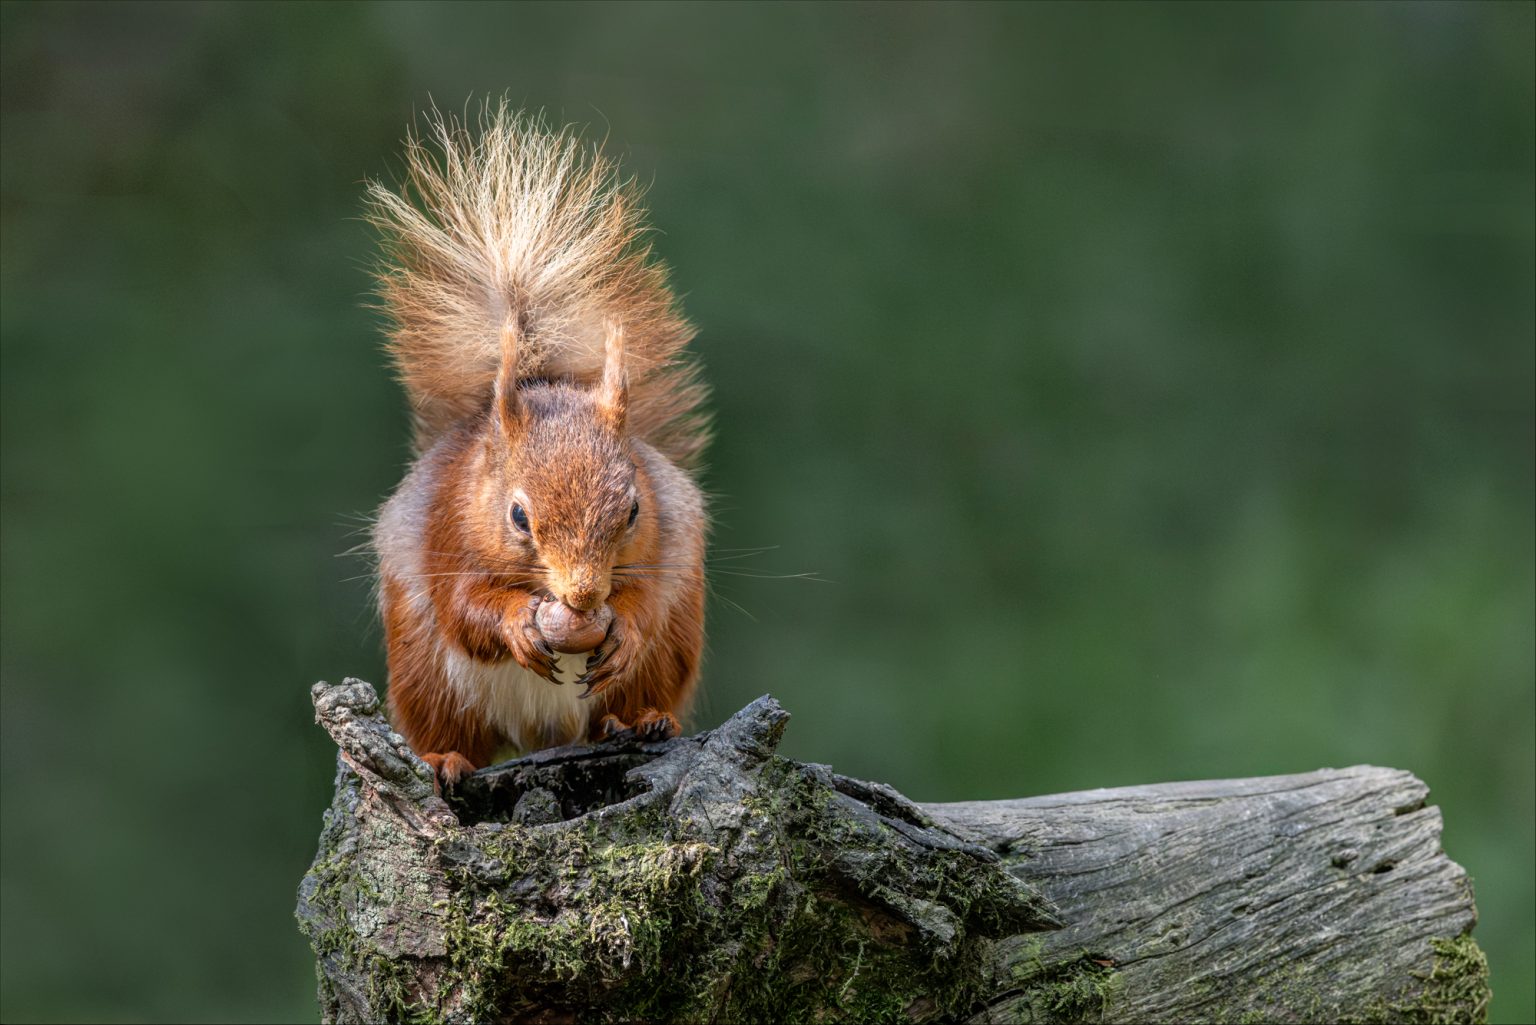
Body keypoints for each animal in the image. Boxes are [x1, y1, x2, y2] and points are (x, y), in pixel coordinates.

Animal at [366, 104, 709, 787]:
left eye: (634, 510)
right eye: (518, 516)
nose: (583, 597)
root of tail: (544, 734)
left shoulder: (661, 548)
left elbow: (645, 597)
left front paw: (624, 627)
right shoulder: (445, 534)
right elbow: (464, 609)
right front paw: (515, 625)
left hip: (675, 644)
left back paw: (642, 720)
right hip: (423, 673)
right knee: (451, 730)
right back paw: (444, 759)